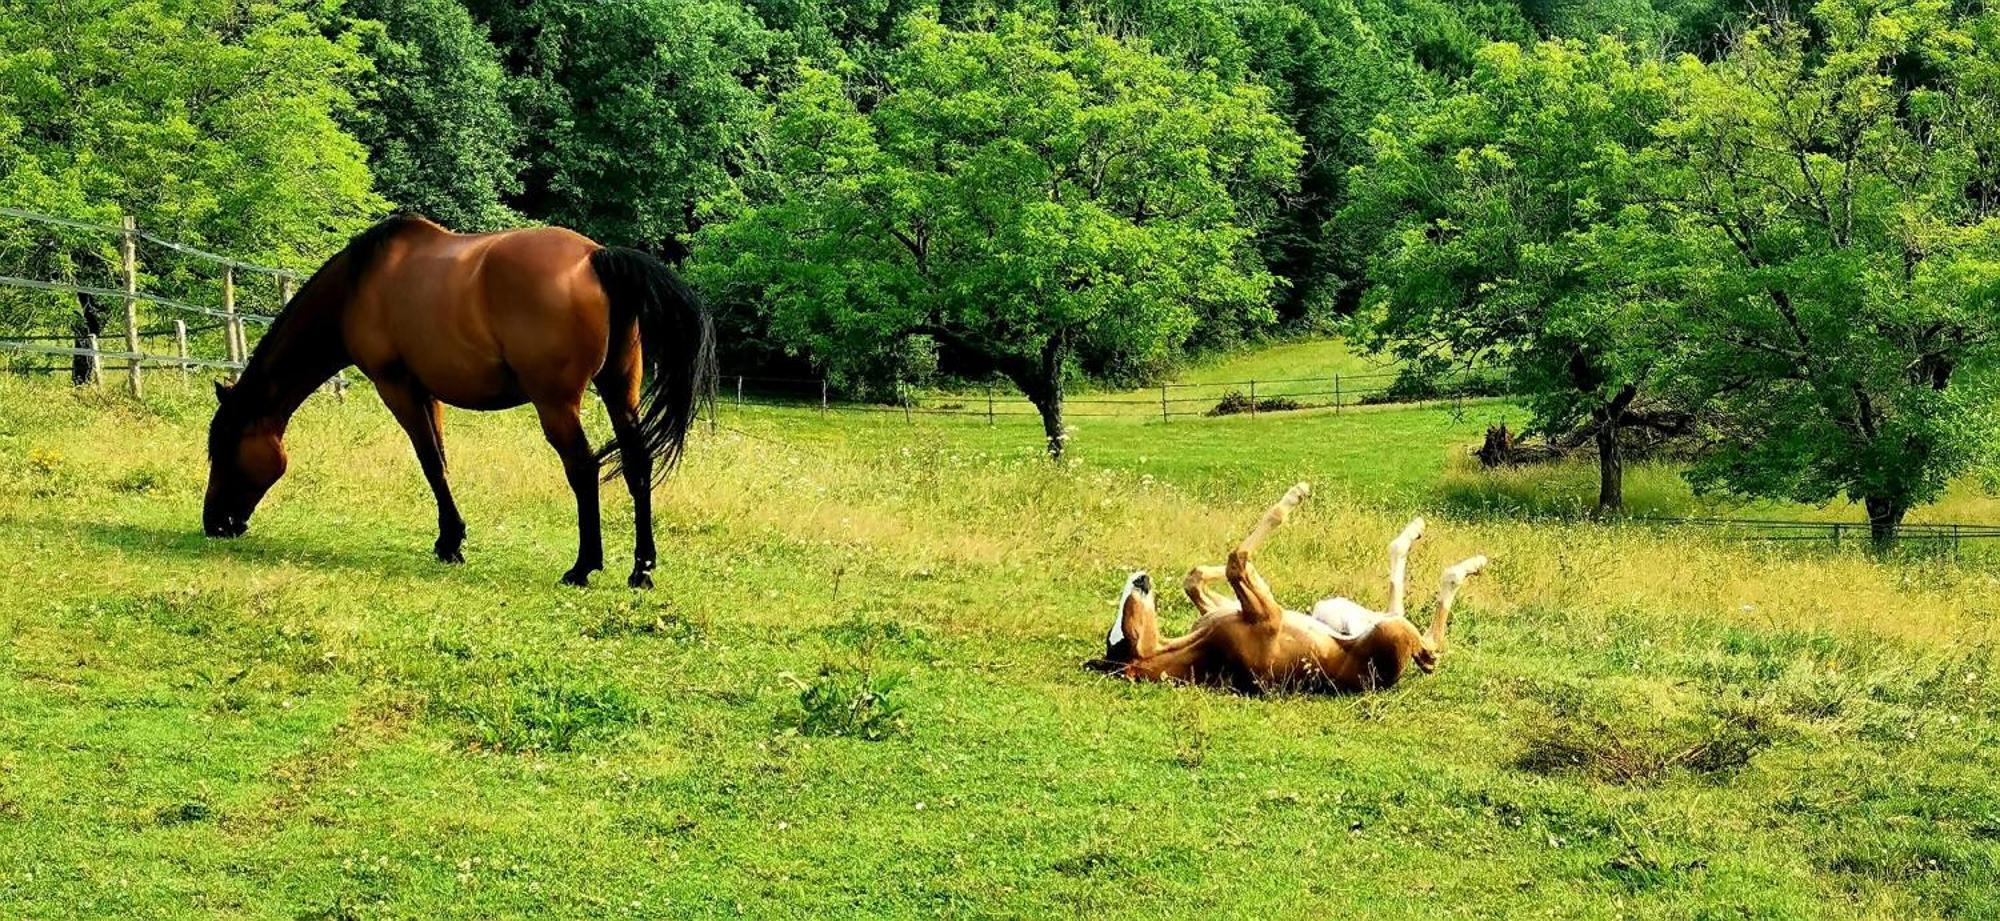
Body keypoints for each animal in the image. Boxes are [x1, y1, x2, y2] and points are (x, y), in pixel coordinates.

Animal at [201, 215, 712, 584]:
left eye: (224, 449)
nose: (214, 524)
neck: (358, 286)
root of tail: (594, 257)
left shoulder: (397, 387)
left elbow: (429, 462)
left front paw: (450, 542)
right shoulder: (429, 393)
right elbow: (442, 461)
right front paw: (452, 538)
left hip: (557, 404)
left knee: (583, 469)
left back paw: (583, 566)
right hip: (619, 392)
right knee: (637, 464)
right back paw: (642, 568)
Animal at [1096, 486, 1488, 692]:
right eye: (1126, 635)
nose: (1138, 577)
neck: (1200, 649)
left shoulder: (1225, 611)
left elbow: (1197, 576)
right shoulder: (1268, 615)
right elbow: (1236, 559)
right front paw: (1294, 496)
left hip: (1335, 611)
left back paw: (1421, 532)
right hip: (1394, 633)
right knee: (1430, 642)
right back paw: (1466, 565)